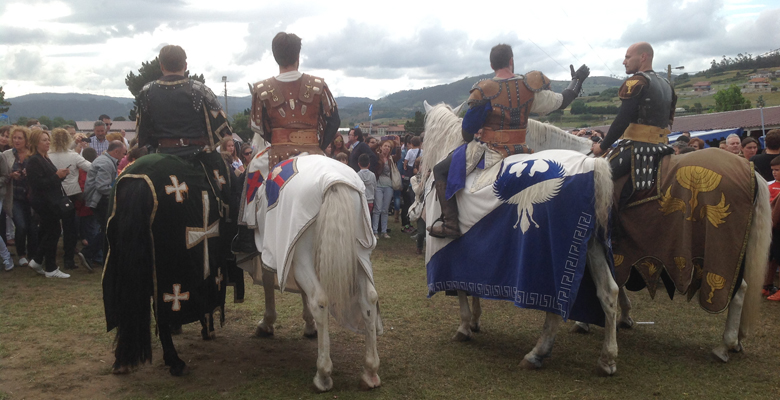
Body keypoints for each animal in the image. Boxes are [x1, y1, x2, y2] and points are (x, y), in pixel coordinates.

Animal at [239, 136, 382, 392]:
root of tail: (333, 181)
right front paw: (309, 326)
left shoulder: (275, 250)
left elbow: (268, 280)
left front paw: (267, 323)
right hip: (359, 253)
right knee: (369, 299)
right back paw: (370, 371)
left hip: (302, 254)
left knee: (320, 300)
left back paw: (323, 374)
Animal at [418, 101, 620, 376]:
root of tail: (592, 166)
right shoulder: (471, 257)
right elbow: (471, 287)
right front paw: (476, 321)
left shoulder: (449, 253)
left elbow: (460, 289)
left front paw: (465, 326)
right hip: (592, 246)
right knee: (609, 293)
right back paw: (607, 358)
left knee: (556, 305)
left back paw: (537, 353)